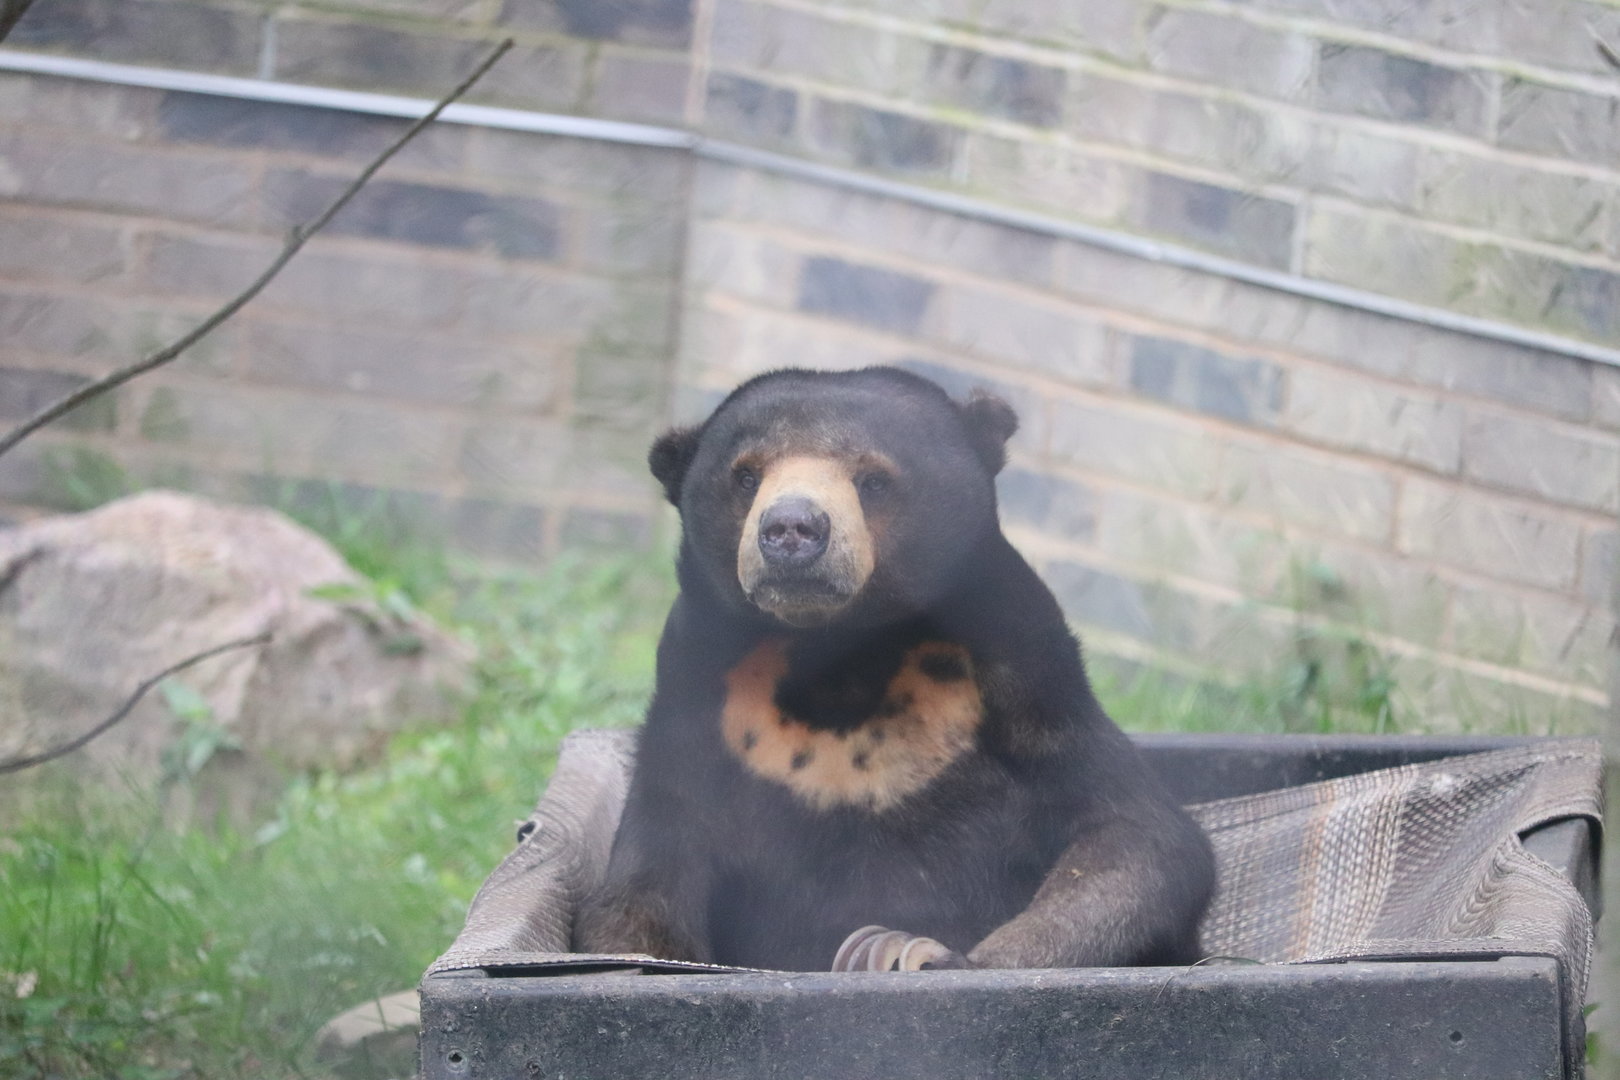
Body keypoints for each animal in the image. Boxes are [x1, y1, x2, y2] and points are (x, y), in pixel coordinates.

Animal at [575, 367, 1214, 972]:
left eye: (874, 479)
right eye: (747, 476)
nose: (792, 529)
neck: (842, 653)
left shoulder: (1032, 685)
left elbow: (1134, 838)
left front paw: (932, 955)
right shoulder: (699, 709)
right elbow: (646, 886)